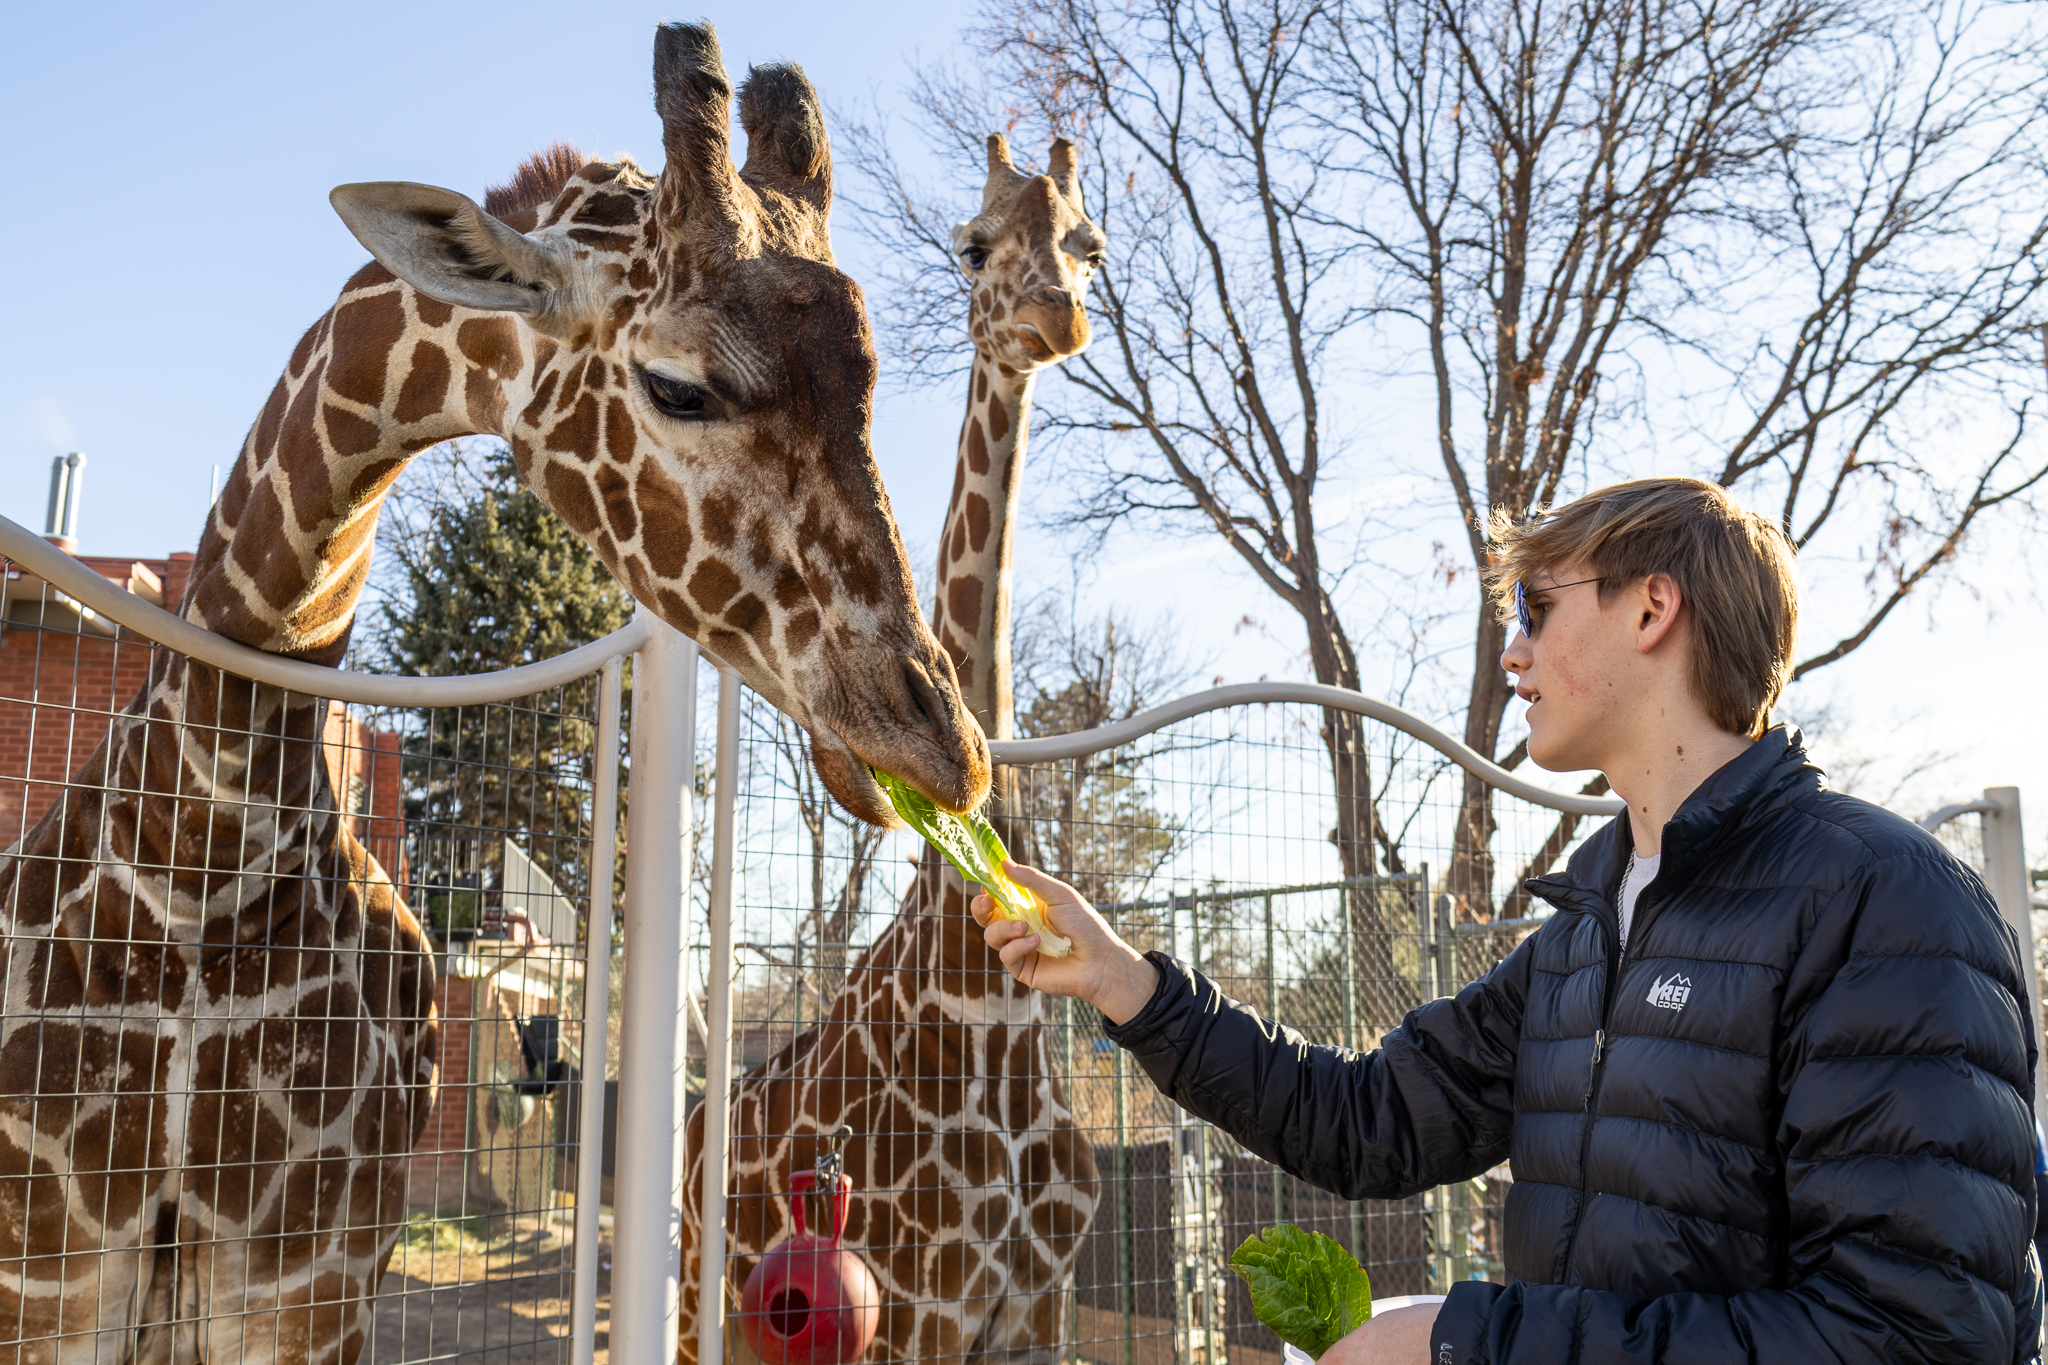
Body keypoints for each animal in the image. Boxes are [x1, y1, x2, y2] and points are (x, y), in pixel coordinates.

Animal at [0, 25, 988, 1365]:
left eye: (871, 388)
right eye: (678, 386)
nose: (942, 750)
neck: (195, 859)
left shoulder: (309, 1289)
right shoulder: (47, 1287)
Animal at [679, 133, 1106, 1365]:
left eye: (1089, 244)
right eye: (972, 243)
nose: (1055, 315)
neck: (985, 1000)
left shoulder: (1036, 1311)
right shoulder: (922, 1309)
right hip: (702, 1296)